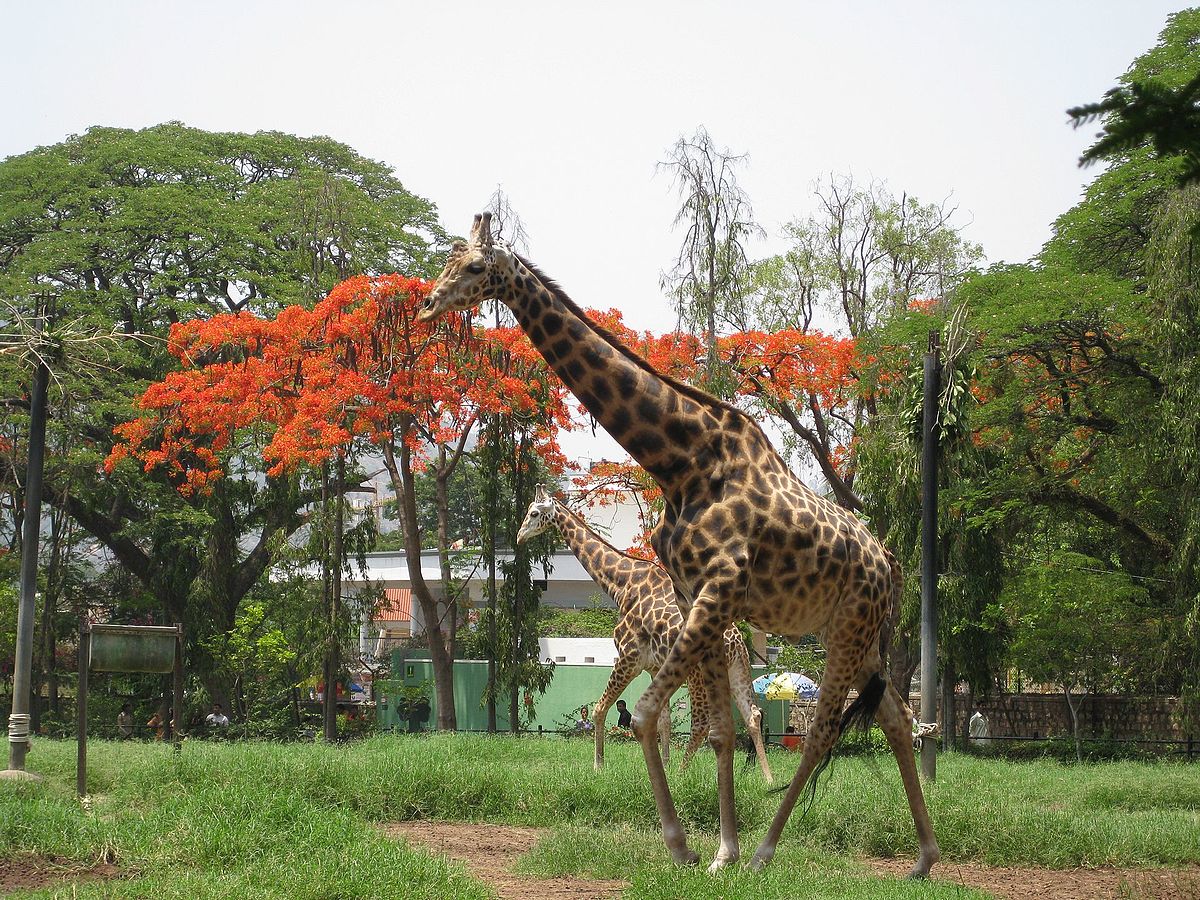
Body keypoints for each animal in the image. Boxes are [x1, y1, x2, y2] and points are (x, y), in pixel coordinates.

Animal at [516, 487, 768, 782]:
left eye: (534, 513)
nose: (519, 536)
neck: (621, 585)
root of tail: (737, 641)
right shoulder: (653, 667)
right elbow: (663, 720)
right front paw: (665, 764)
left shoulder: (629, 657)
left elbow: (600, 708)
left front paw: (599, 766)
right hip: (737, 669)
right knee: (752, 715)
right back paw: (768, 777)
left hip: (698, 674)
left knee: (702, 723)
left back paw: (682, 774)